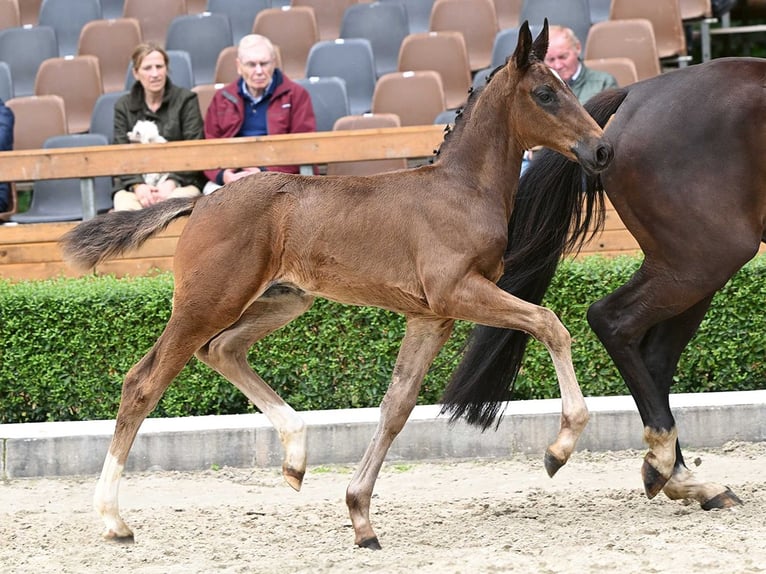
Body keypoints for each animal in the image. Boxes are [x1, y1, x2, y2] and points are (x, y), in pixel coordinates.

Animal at [60, 22, 616, 552]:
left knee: (221, 351)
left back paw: (295, 457)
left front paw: (360, 517)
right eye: (545, 93)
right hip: (207, 304)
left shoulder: (430, 316)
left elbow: (396, 407)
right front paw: (559, 448)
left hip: (282, 300)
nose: (603, 149)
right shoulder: (457, 292)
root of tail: (201, 201)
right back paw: (113, 520)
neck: (461, 189)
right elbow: (550, 323)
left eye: (568, 84)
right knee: (143, 382)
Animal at [440, 58, 764, 516]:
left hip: (695, 266)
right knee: (612, 320)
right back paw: (661, 462)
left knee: (654, 357)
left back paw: (685, 479)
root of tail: (636, 94)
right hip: (704, 257)